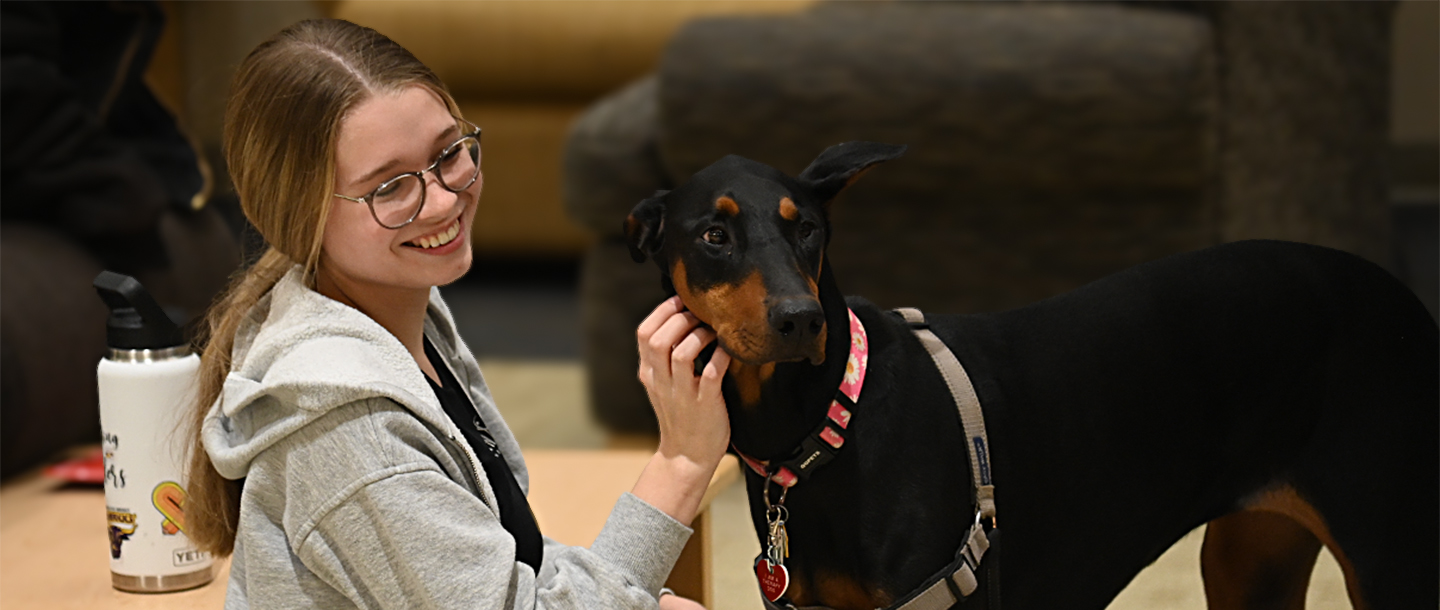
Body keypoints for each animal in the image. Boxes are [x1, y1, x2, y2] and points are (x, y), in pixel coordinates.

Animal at [624, 143, 1434, 610]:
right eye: (715, 235)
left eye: (809, 229)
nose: (800, 320)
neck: (827, 426)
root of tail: (1407, 300)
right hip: (1251, 559)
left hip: (1388, 558)